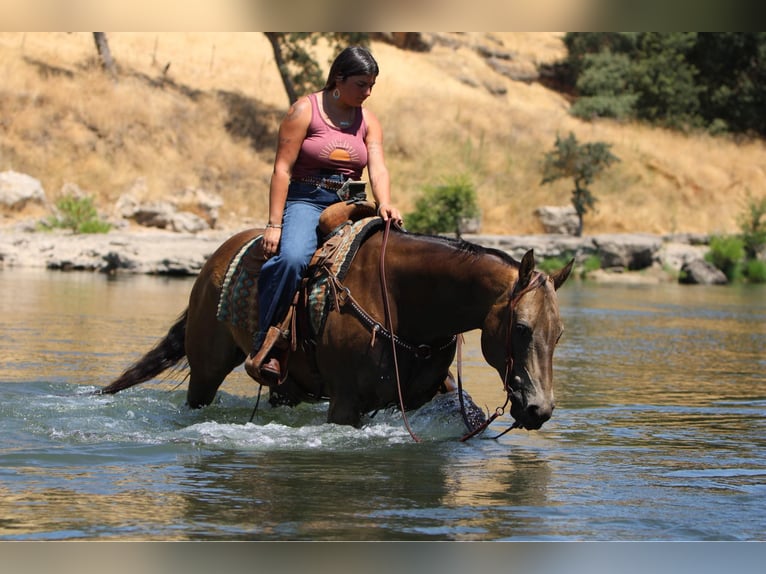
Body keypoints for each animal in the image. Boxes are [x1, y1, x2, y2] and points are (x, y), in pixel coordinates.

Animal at [99, 210, 572, 436]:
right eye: (521, 328)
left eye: (559, 334)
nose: (540, 409)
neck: (402, 300)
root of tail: (215, 259)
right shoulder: (345, 404)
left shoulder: (427, 394)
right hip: (206, 370)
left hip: (285, 383)